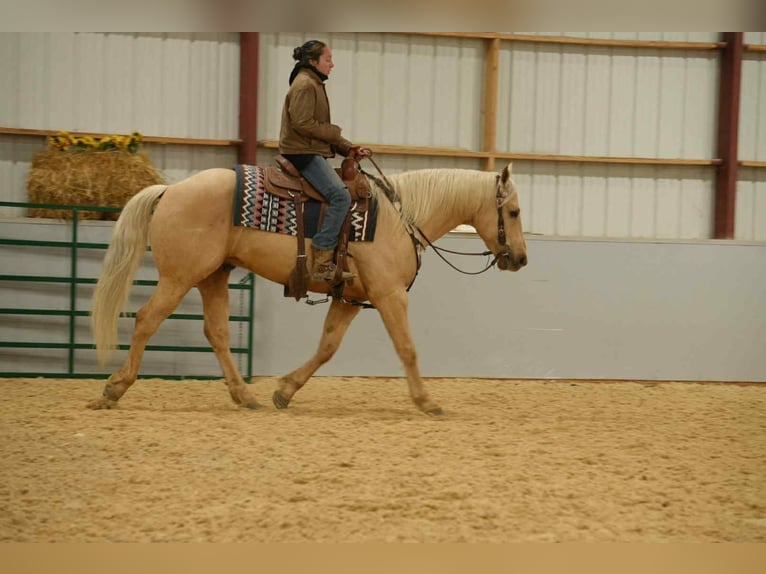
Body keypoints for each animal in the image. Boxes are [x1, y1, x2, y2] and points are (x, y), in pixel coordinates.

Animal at [87, 161, 528, 416]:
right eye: (514, 211)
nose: (521, 258)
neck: (400, 217)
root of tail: (170, 190)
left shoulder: (352, 299)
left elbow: (327, 347)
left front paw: (285, 390)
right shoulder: (389, 295)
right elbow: (407, 348)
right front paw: (426, 401)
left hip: (213, 276)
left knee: (218, 333)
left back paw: (245, 396)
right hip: (179, 277)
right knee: (146, 320)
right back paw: (113, 390)